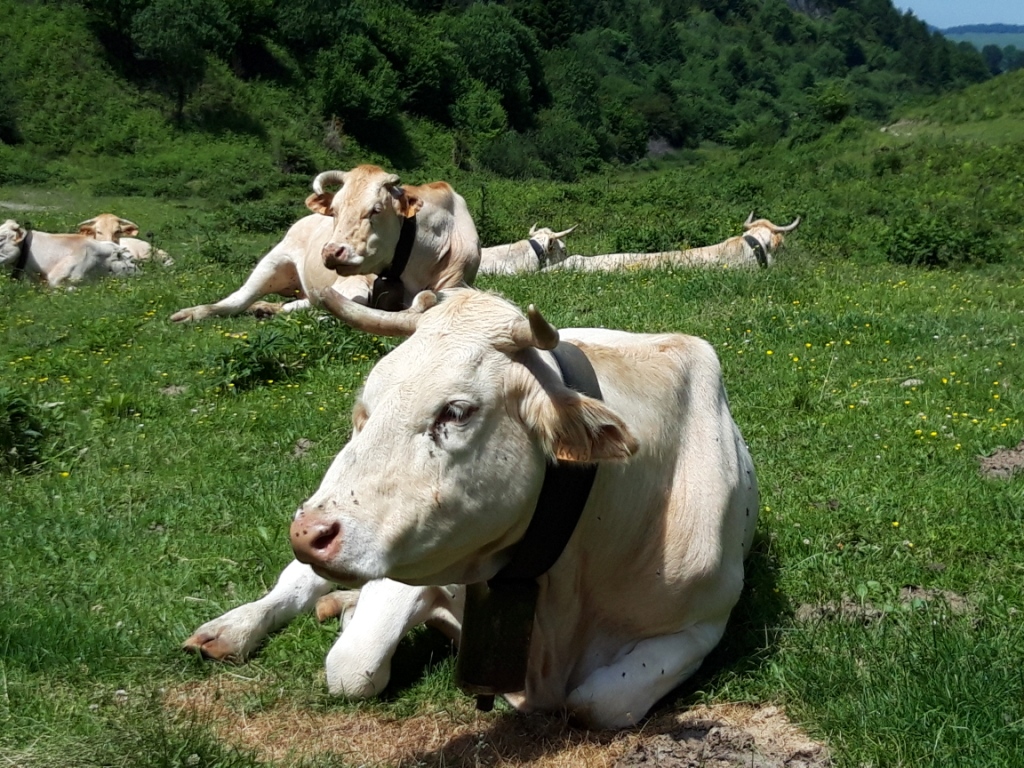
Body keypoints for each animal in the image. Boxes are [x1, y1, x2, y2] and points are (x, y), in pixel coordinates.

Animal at [184, 286, 761, 729]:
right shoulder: (414, 564)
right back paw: (233, 629)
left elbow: (597, 703)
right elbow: (352, 668)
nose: (309, 533)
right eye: (364, 410)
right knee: (294, 585)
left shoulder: (703, 625)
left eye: (456, 411)